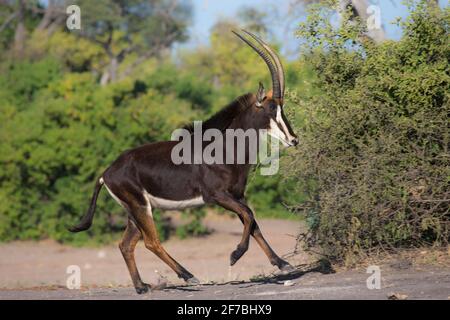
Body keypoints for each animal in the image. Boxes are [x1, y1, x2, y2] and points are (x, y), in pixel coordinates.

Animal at [68, 30, 298, 296]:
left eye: (282, 109)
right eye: (271, 109)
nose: (294, 139)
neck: (224, 147)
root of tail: (107, 172)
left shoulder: (237, 196)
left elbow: (254, 224)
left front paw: (282, 263)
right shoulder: (217, 196)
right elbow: (250, 216)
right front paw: (235, 255)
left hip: (134, 211)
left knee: (126, 244)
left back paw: (142, 286)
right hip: (140, 207)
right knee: (151, 241)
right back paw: (188, 276)